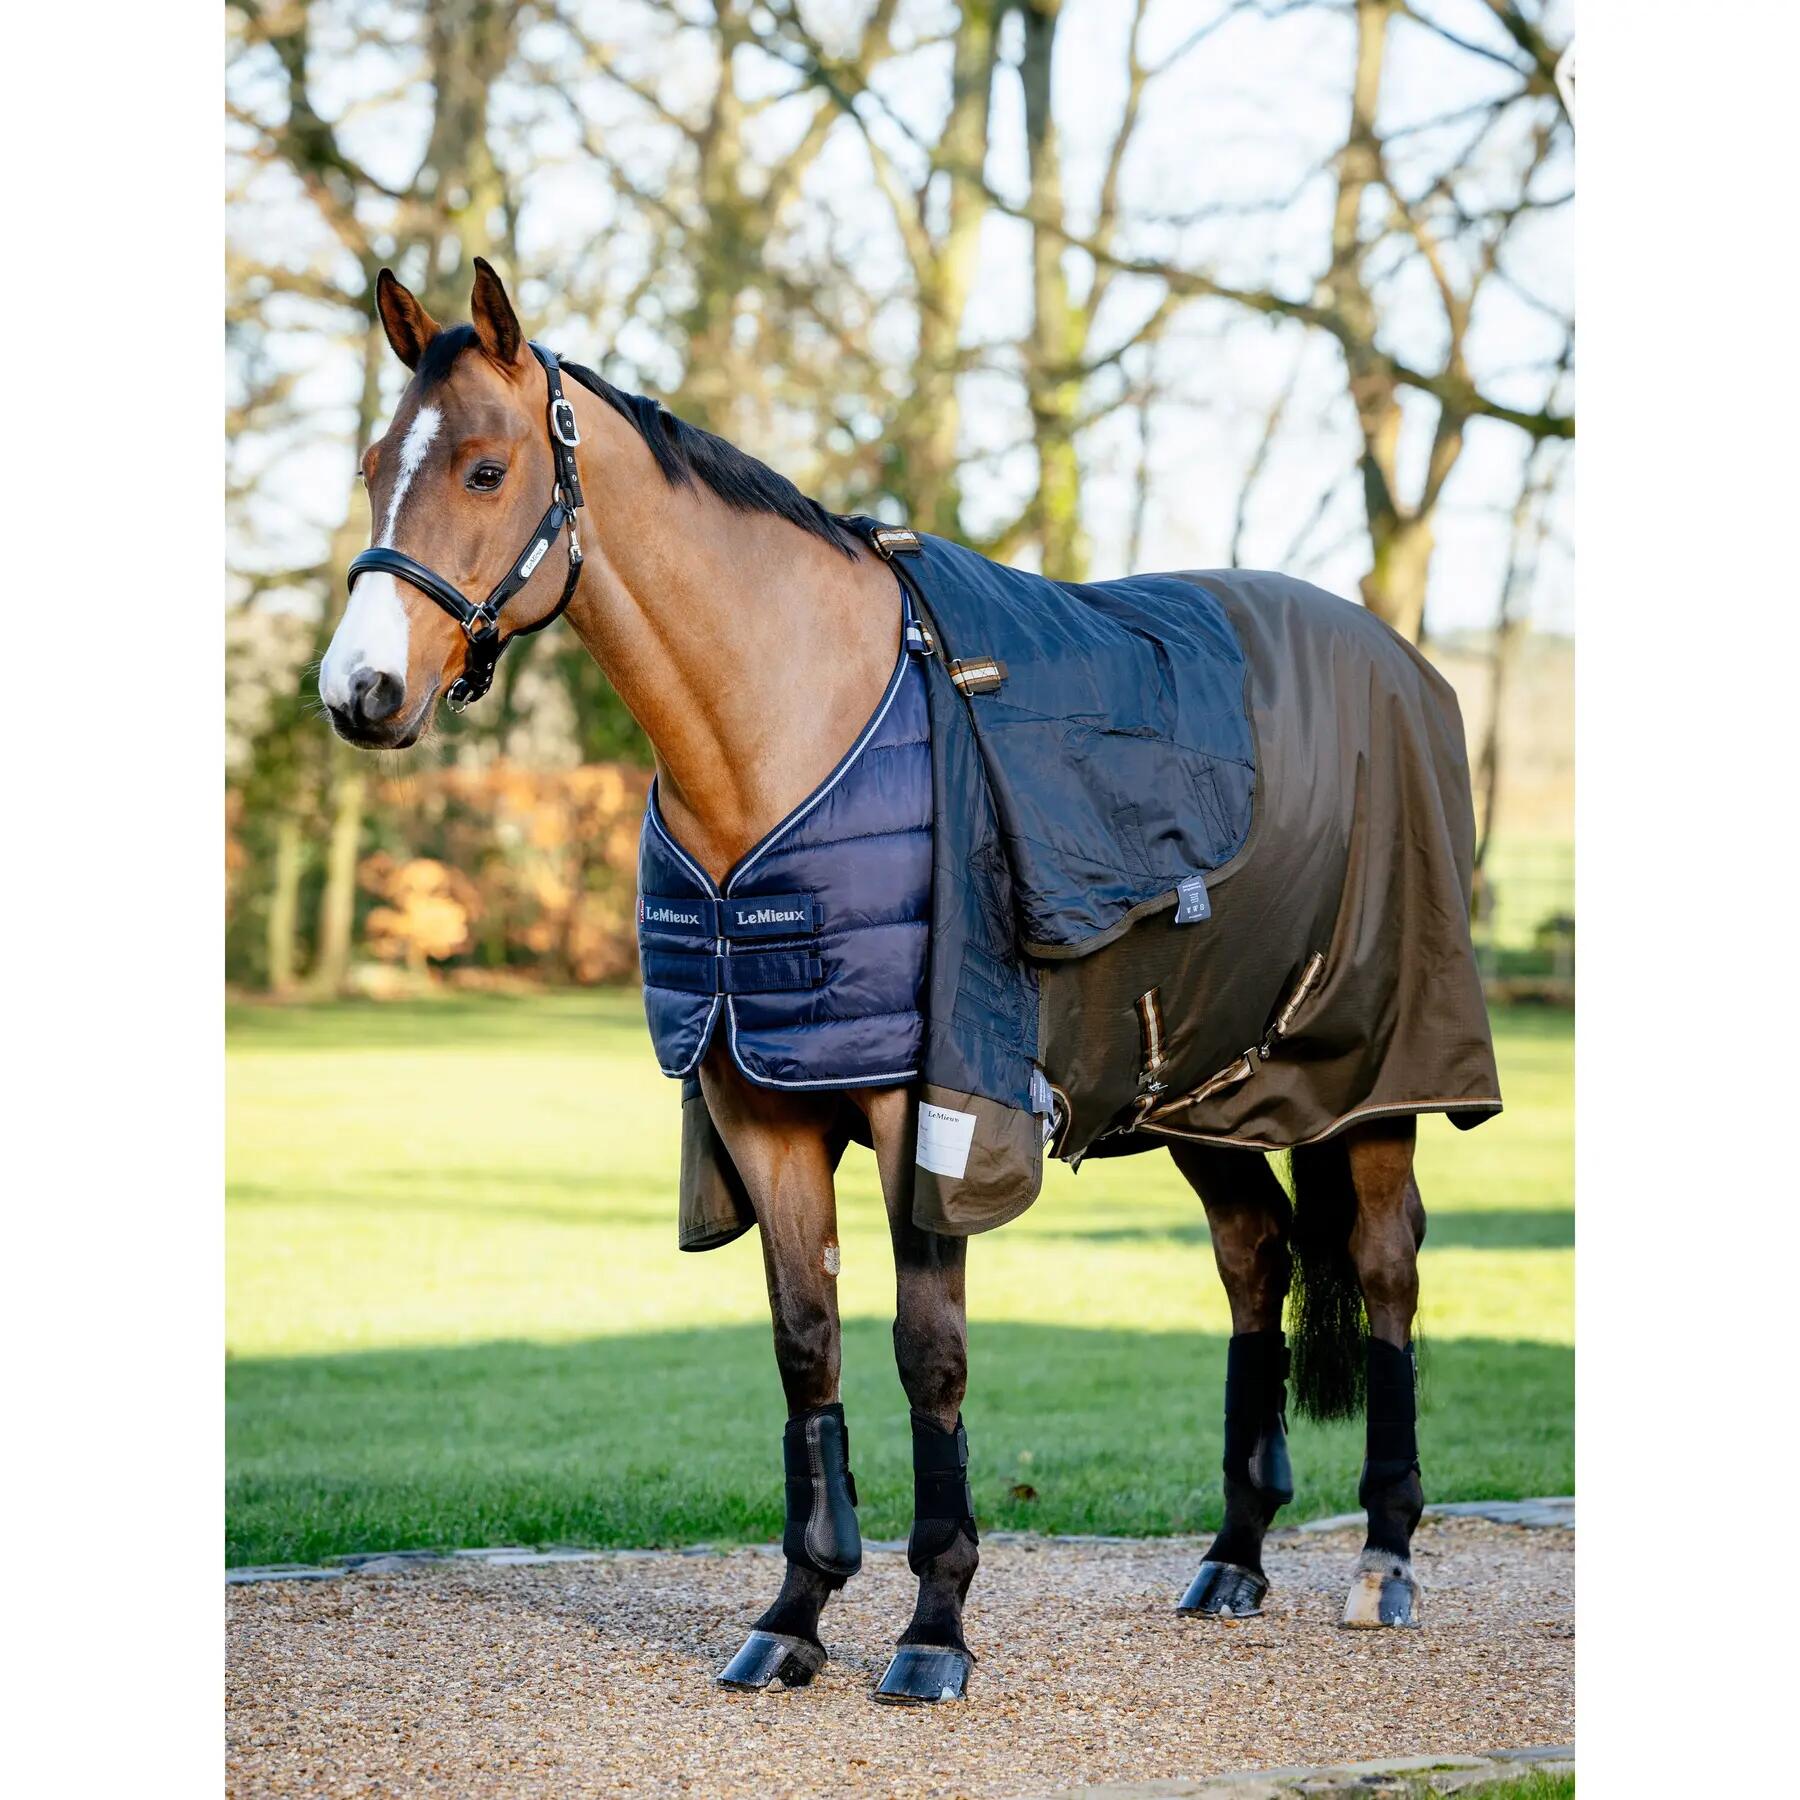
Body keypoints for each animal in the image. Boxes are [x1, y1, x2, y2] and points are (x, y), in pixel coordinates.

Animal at [320, 259, 1495, 1703]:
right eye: (373, 465)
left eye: (486, 470)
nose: (360, 690)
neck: (789, 729)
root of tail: (1403, 662)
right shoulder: (758, 1103)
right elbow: (806, 1347)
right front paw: (795, 1611)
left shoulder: (923, 1105)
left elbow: (927, 1354)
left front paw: (935, 1626)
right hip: (1197, 1088)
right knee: (1253, 1257)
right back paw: (1233, 1556)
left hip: (1376, 1082)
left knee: (1385, 1273)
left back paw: (1382, 1555)